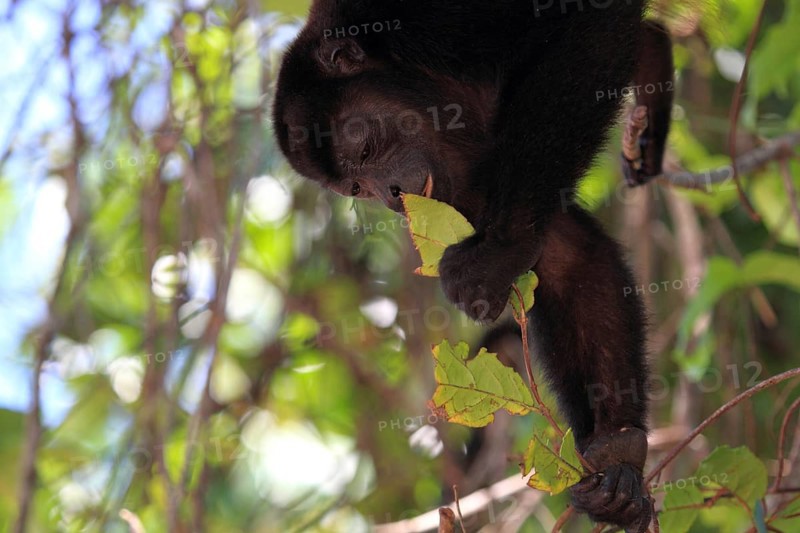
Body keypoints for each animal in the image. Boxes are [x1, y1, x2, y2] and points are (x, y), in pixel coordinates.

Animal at [273, 1, 674, 531]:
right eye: (355, 189)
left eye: (364, 150)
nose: (392, 197)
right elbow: (564, 257)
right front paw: (618, 456)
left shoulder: (443, 21)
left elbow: (593, 21)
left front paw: (498, 250)